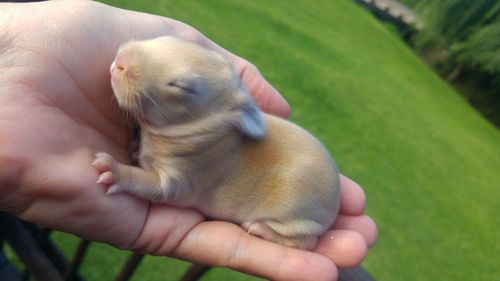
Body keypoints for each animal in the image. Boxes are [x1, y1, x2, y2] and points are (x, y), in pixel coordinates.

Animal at [92, 36, 342, 248]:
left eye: (179, 86)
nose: (120, 60)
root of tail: (336, 202)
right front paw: (135, 148)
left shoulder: (183, 179)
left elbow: (149, 184)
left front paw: (114, 171)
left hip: (296, 214)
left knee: (306, 242)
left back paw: (260, 229)